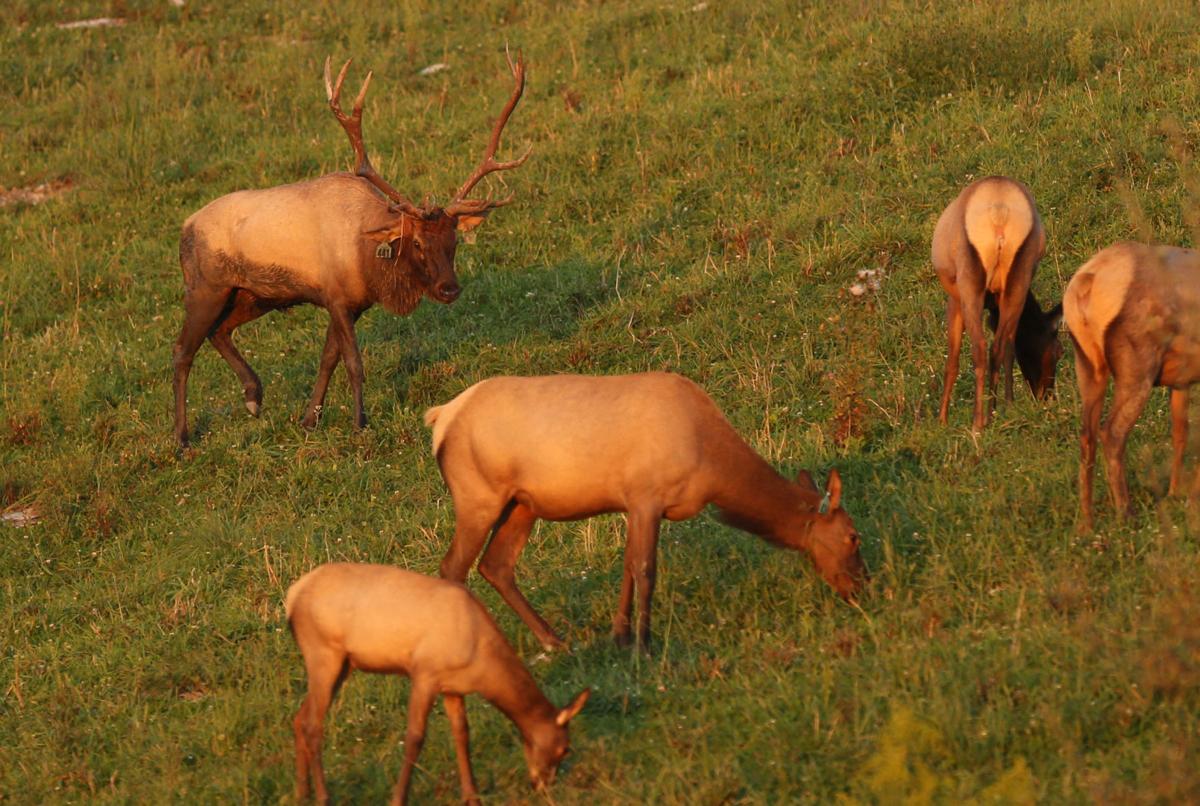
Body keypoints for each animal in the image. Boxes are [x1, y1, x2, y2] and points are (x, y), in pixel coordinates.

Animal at [172, 51, 530, 448]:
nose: (449, 289)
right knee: (183, 350)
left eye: (453, 242)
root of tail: (185, 228)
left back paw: (253, 396)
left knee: (219, 331)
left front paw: (310, 419)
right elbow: (354, 362)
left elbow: (329, 357)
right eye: (416, 242)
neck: (369, 262)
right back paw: (181, 436)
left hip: (253, 295)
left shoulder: (351, 303)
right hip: (205, 287)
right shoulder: (337, 297)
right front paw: (360, 421)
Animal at [286, 563, 589, 806]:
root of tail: (292, 598)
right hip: (323, 654)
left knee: (299, 717)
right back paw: (323, 796)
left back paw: (302, 793)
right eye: (565, 748)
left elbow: (462, 734)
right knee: (313, 723)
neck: (483, 663)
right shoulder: (424, 674)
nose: (542, 785)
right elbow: (415, 737)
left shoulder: (453, 689)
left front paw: (472, 796)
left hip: (342, 665)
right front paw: (398, 799)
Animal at [423, 372, 867, 652]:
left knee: (495, 565)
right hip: (478, 497)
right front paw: (644, 643)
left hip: (522, 505)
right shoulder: (646, 497)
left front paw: (620, 637)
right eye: (853, 535)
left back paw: (556, 641)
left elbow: (626, 566)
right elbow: (645, 569)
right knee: (453, 569)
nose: (862, 588)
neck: (713, 466)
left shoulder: (633, 505)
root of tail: (439, 418)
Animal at [932, 176, 1064, 431]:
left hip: (969, 283)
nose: (1046, 396)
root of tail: (999, 214)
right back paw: (999, 410)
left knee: (980, 348)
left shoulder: (955, 298)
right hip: (1019, 276)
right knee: (1001, 345)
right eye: (1060, 351)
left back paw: (977, 422)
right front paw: (1003, 406)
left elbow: (952, 360)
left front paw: (941, 421)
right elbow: (1008, 347)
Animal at [1063, 242, 1200, 531]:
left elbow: (1180, 431)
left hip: (1089, 366)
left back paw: (1087, 522)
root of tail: (1087, 283)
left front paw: (1175, 494)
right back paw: (1126, 513)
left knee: (1087, 435)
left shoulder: (1182, 380)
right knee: (1112, 432)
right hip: (1136, 367)